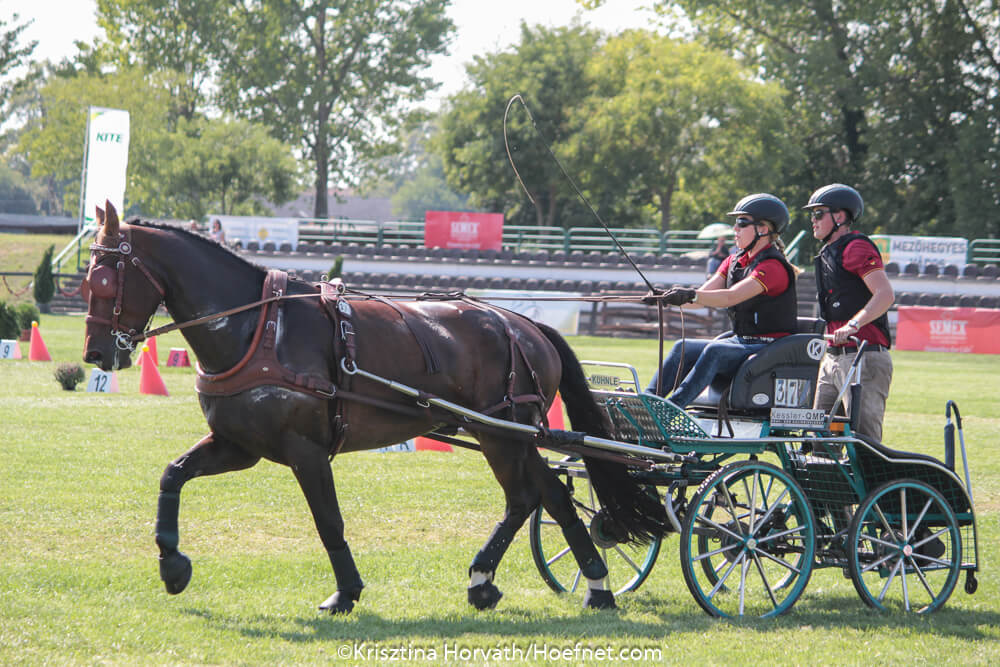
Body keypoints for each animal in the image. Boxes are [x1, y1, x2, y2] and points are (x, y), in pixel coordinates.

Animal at [82, 204, 668, 616]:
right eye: (87, 279)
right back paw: (588, 585)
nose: (97, 355)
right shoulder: (238, 446)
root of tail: (525, 324)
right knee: (553, 495)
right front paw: (172, 565)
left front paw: (345, 592)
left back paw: (500, 579)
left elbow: (329, 521)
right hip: (513, 436)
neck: (259, 327)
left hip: (502, 435)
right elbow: (173, 474)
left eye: (106, 279)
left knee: (526, 497)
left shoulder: (305, 450)